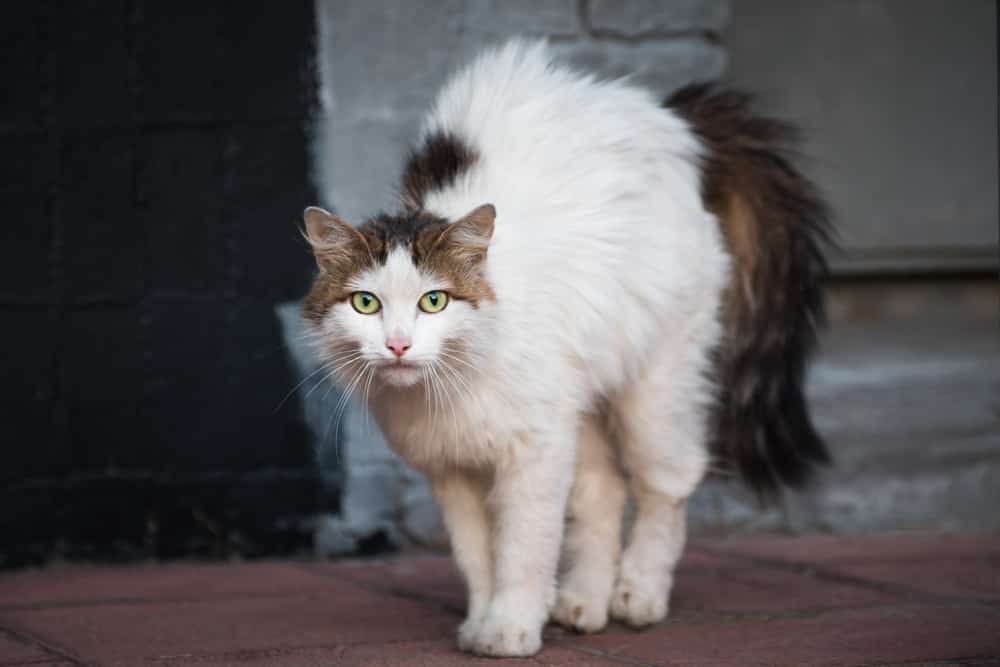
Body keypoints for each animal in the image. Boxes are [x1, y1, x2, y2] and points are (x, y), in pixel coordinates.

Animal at [300, 39, 832, 660]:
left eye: (435, 301)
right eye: (366, 303)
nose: (399, 344)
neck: (448, 388)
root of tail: (671, 122)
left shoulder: (536, 451)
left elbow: (524, 549)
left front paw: (510, 629)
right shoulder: (453, 471)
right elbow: (477, 557)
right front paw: (482, 622)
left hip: (656, 387)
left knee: (668, 482)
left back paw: (639, 593)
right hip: (583, 401)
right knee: (605, 490)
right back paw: (584, 602)